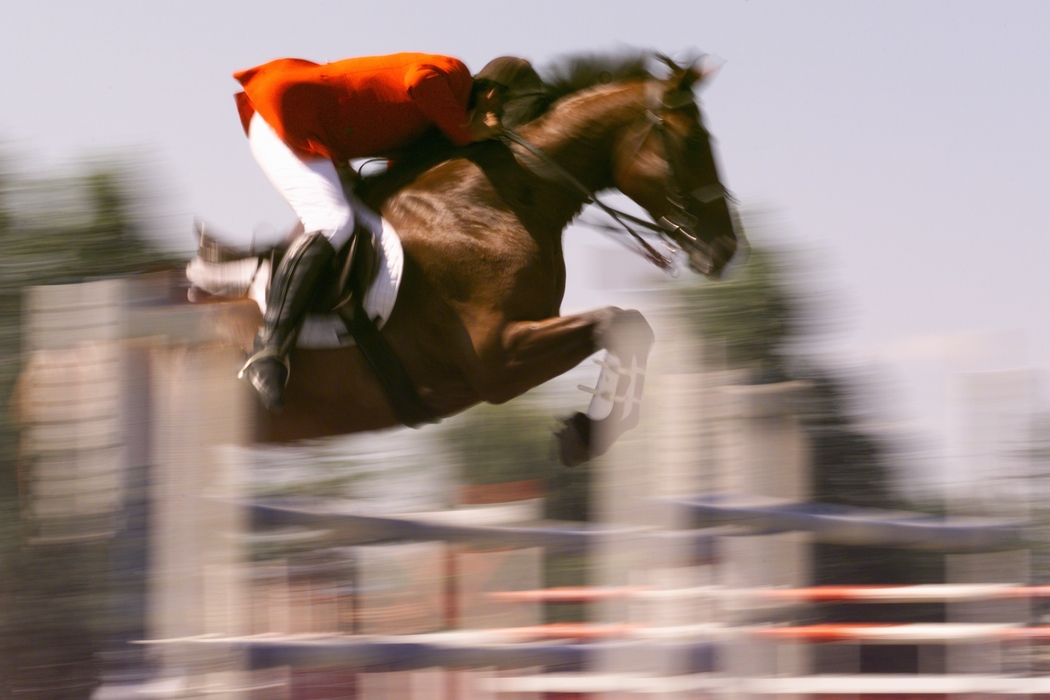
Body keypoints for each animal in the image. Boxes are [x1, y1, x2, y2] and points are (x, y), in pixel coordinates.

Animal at [197, 57, 739, 468]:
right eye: (693, 143)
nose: (725, 249)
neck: (497, 199)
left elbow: (632, 325)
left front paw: (587, 432)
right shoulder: (497, 359)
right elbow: (618, 321)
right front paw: (586, 434)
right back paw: (267, 372)